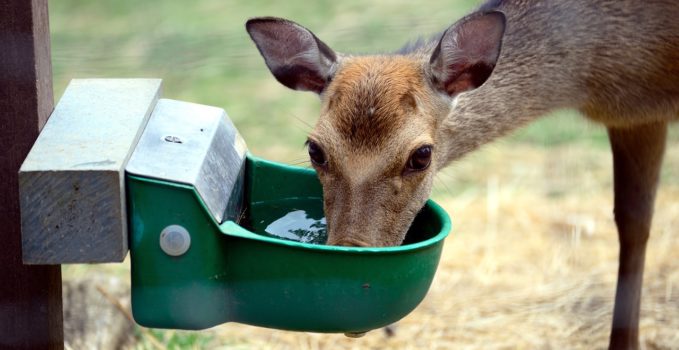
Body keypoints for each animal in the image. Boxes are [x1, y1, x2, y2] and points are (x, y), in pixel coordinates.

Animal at [244, 0, 679, 348]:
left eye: (422, 155)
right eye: (315, 149)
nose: (351, 258)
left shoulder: (642, 113)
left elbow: (635, 225)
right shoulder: (631, 117)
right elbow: (632, 221)